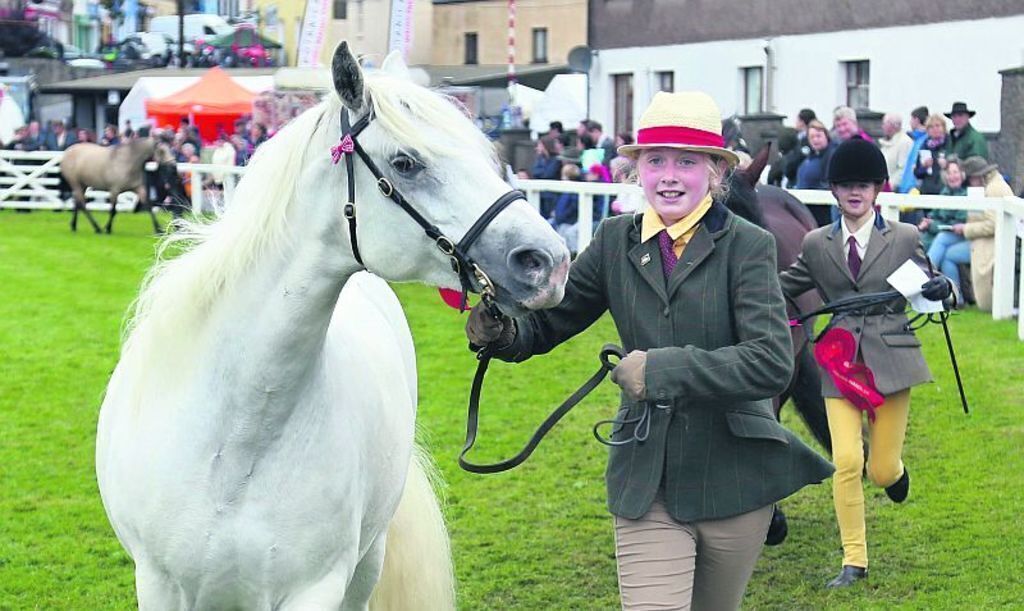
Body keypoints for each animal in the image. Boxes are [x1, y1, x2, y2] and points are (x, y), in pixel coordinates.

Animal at [95, 41, 571, 610]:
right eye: (406, 162)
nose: (548, 261)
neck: (236, 441)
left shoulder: (316, 588)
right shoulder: (159, 583)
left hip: (369, 559)